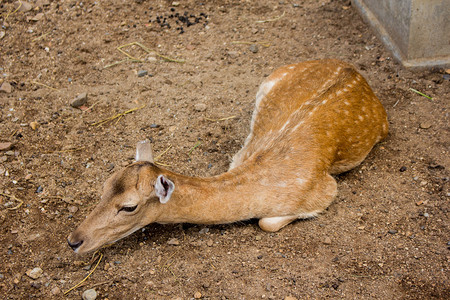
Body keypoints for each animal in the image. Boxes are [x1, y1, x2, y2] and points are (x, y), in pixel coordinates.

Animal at [67, 59, 386, 255]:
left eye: (129, 207)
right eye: (104, 186)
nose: (73, 241)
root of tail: (354, 70)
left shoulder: (323, 190)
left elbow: (267, 222)